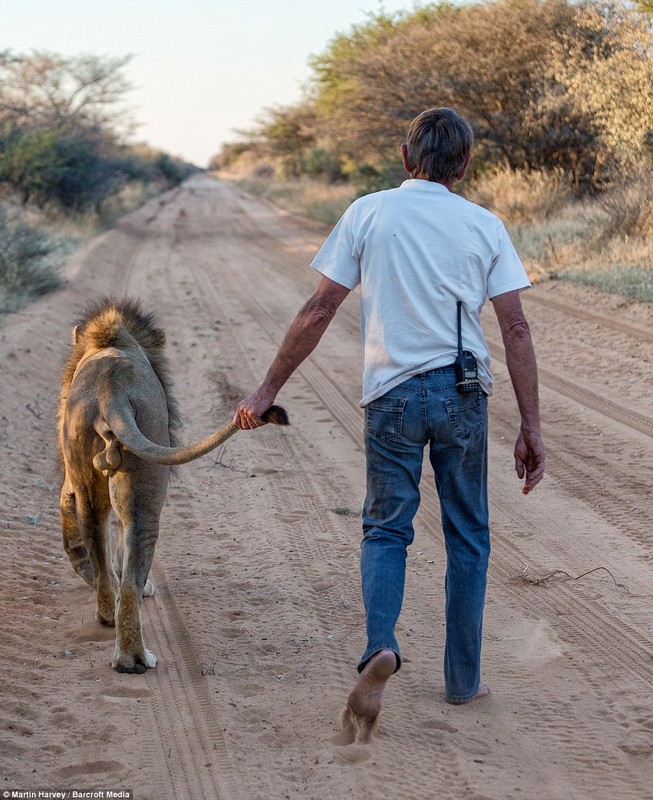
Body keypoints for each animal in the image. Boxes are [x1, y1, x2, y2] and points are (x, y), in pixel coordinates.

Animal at [57, 296, 286, 672]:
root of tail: (110, 394)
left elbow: (69, 509)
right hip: (147, 480)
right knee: (132, 566)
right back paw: (133, 658)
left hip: (86, 469)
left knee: (97, 539)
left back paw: (107, 612)